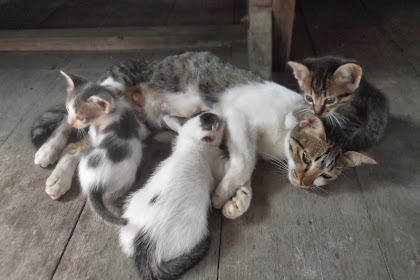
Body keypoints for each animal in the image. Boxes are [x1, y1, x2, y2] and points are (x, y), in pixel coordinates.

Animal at [61, 70, 148, 225]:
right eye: (67, 109)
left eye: (80, 117)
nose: (70, 122)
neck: (115, 107)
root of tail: (95, 186)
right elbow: (143, 132)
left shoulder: (94, 132)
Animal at [120, 110, 228, 278]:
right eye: (216, 120)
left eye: (205, 111)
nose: (219, 113)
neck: (190, 144)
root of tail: (144, 242)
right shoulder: (216, 165)